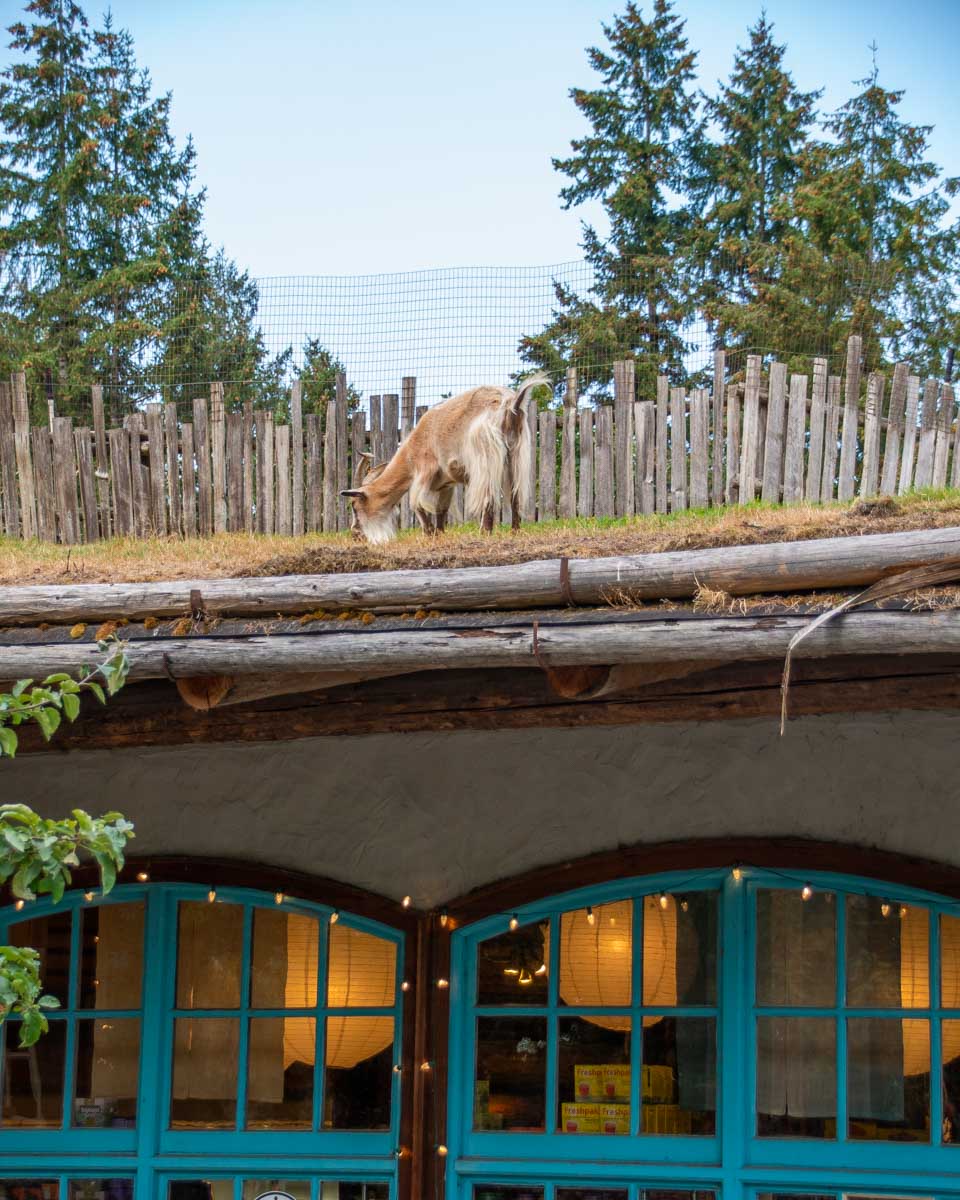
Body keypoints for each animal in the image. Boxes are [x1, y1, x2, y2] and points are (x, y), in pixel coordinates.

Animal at [341, 373, 549, 544]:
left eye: (354, 506)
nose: (355, 534)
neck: (410, 453)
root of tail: (511, 404)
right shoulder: (445, 483)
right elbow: (441, 509)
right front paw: (439, 534)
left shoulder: (424, 470)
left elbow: (416, 503)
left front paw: (428, 533)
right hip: (517, 453)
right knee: (515, 495)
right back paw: (515, 532)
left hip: (485, 455)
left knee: (488, 496)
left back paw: (484, 533)